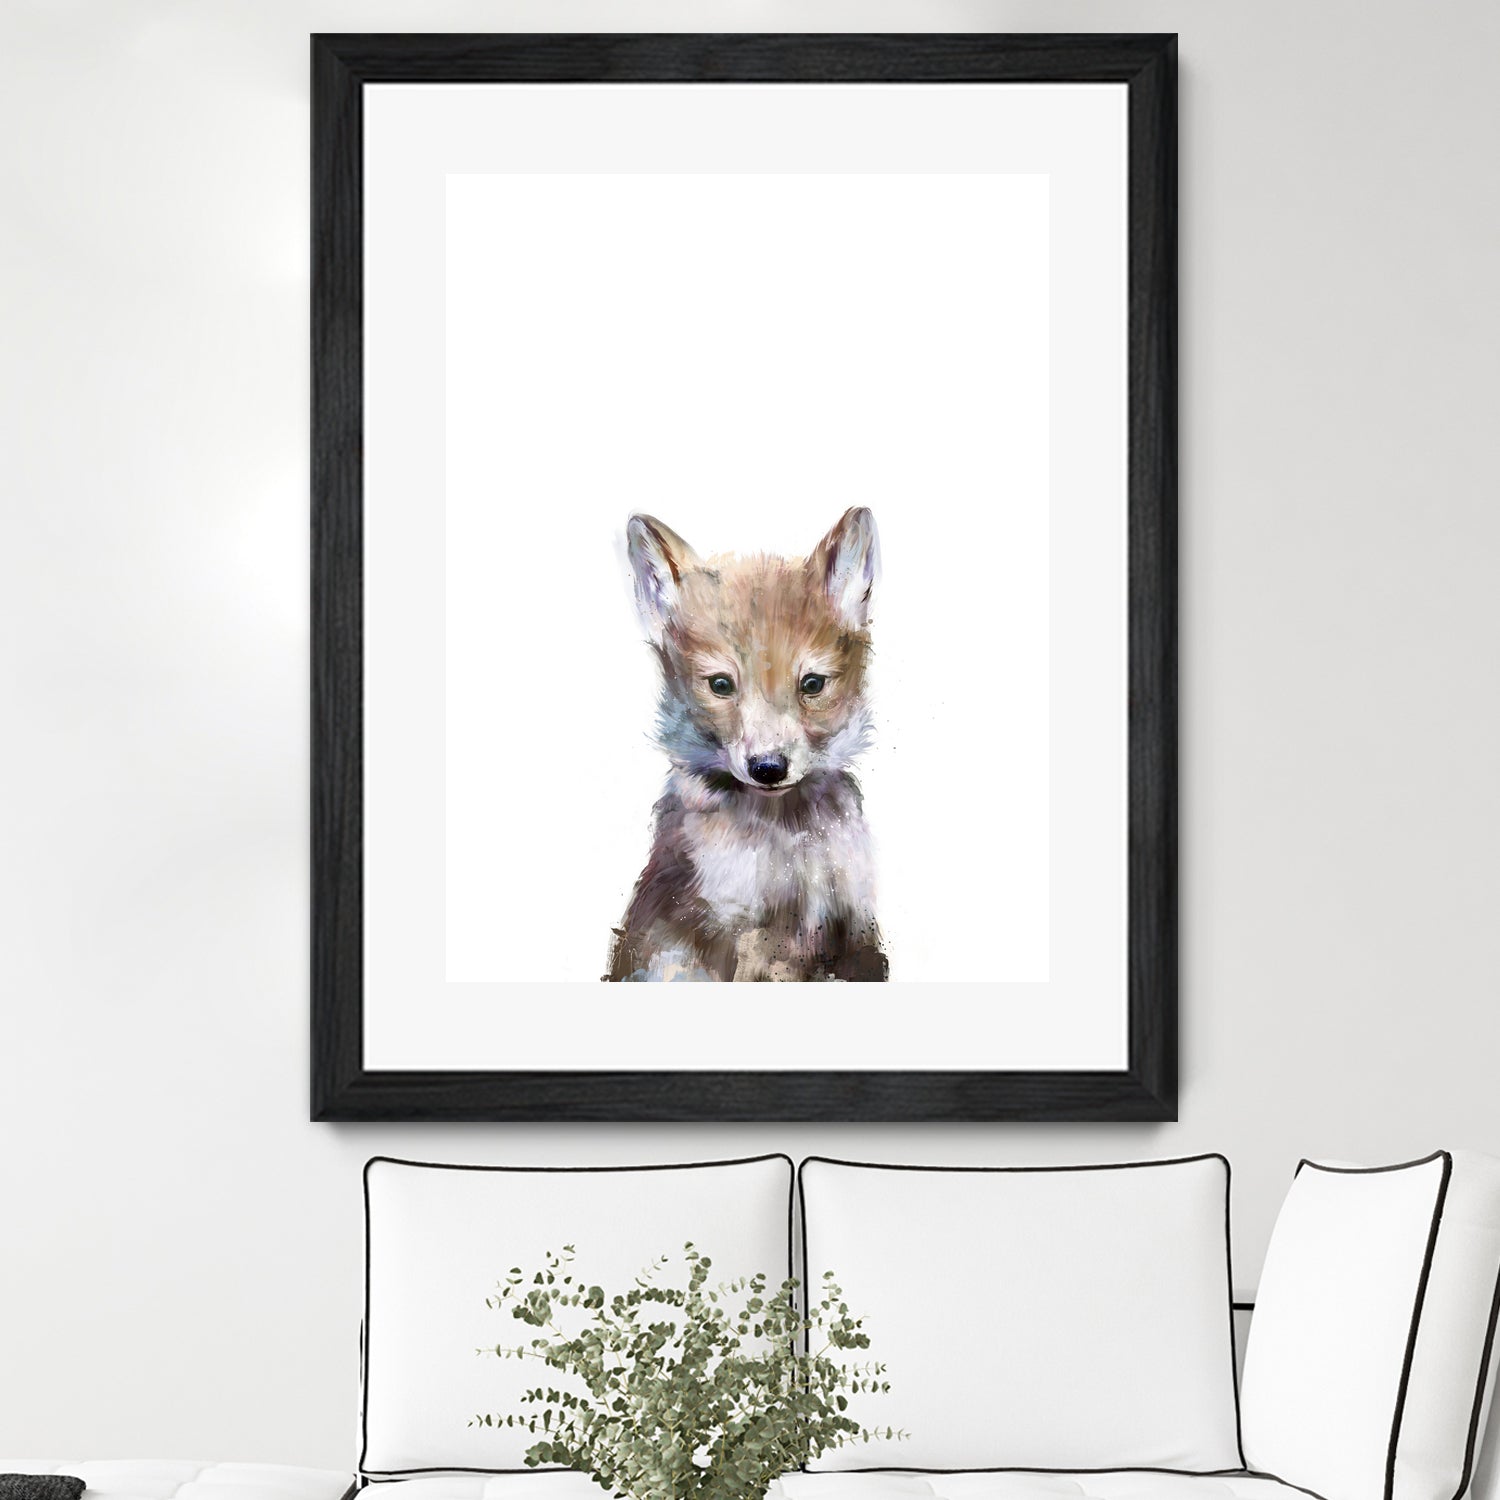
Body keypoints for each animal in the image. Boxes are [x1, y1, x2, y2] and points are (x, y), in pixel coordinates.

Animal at [606, 508, 889, 983]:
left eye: (813, 684)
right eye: (721, 685)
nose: (768, 768)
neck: (787, 842)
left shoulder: (853, 926)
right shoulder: (737, 931)